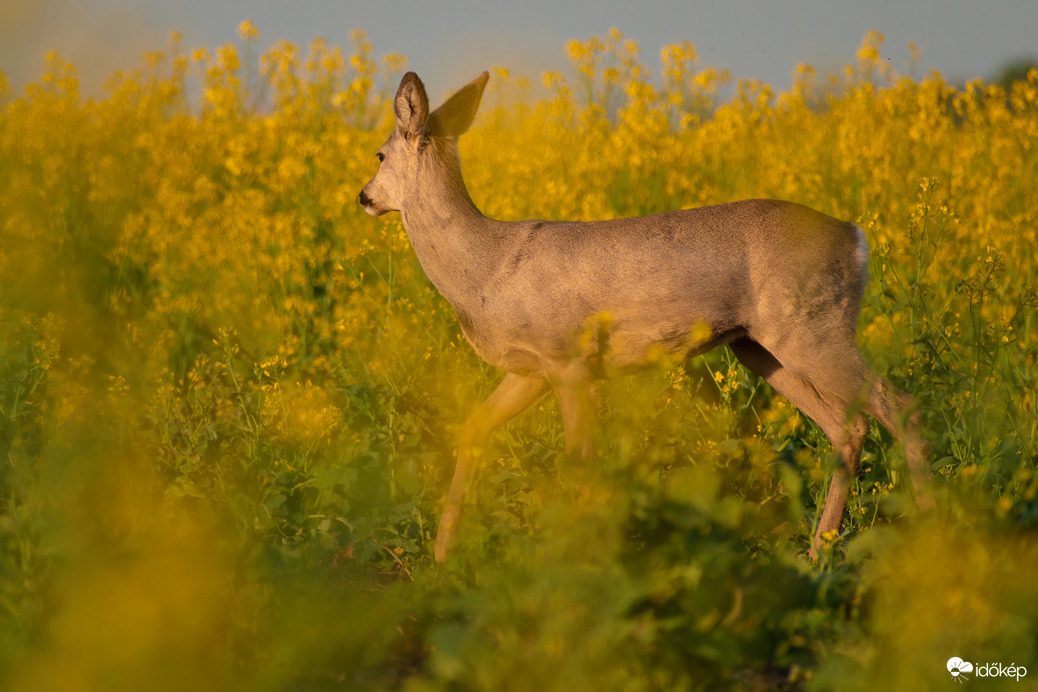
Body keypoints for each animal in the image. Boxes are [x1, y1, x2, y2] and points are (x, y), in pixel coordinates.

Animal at [359, 70, 935, 564]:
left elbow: (580, 464)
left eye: (380, 153)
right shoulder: (532, 371)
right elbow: (473, 429)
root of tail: (856, 237)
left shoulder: (568, 360)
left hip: (812, 329)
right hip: (759, 347)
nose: (364, 197)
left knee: (901, 406)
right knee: (849, 426)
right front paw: (442, 558)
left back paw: (932, 531)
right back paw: (818, 557)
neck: (485, 268)